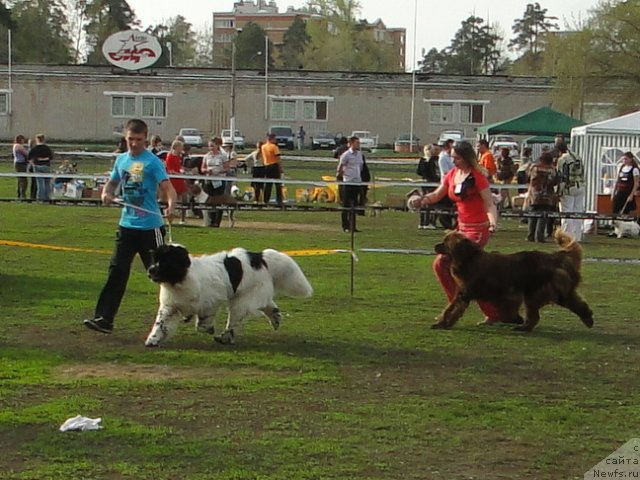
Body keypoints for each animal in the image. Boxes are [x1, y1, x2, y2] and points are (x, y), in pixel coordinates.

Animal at [146, 246, 316, 346]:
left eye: (165, 261)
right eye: (155, 259)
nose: (150, 270)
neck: (181, 278)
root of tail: (258, 257)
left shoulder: (210, 302)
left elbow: (203, 322)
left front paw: (208, 328)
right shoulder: (170, 306)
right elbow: (160, 323)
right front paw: (153, 339)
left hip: (243, 298)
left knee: (236, 319)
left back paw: (225, 337)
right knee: (268, 305)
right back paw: (275, 318)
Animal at [432, 229, 592, 330]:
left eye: (445, 243)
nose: (435, 246)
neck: (469, 259)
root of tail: (555, 257)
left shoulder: (507, 294)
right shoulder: (465, 293)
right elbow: (452, 309)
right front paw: (443, 323)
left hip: (535, 292)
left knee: (535, 315)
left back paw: (524, 327)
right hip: (555, 291)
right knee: (577, 303)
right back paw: (588, 319)